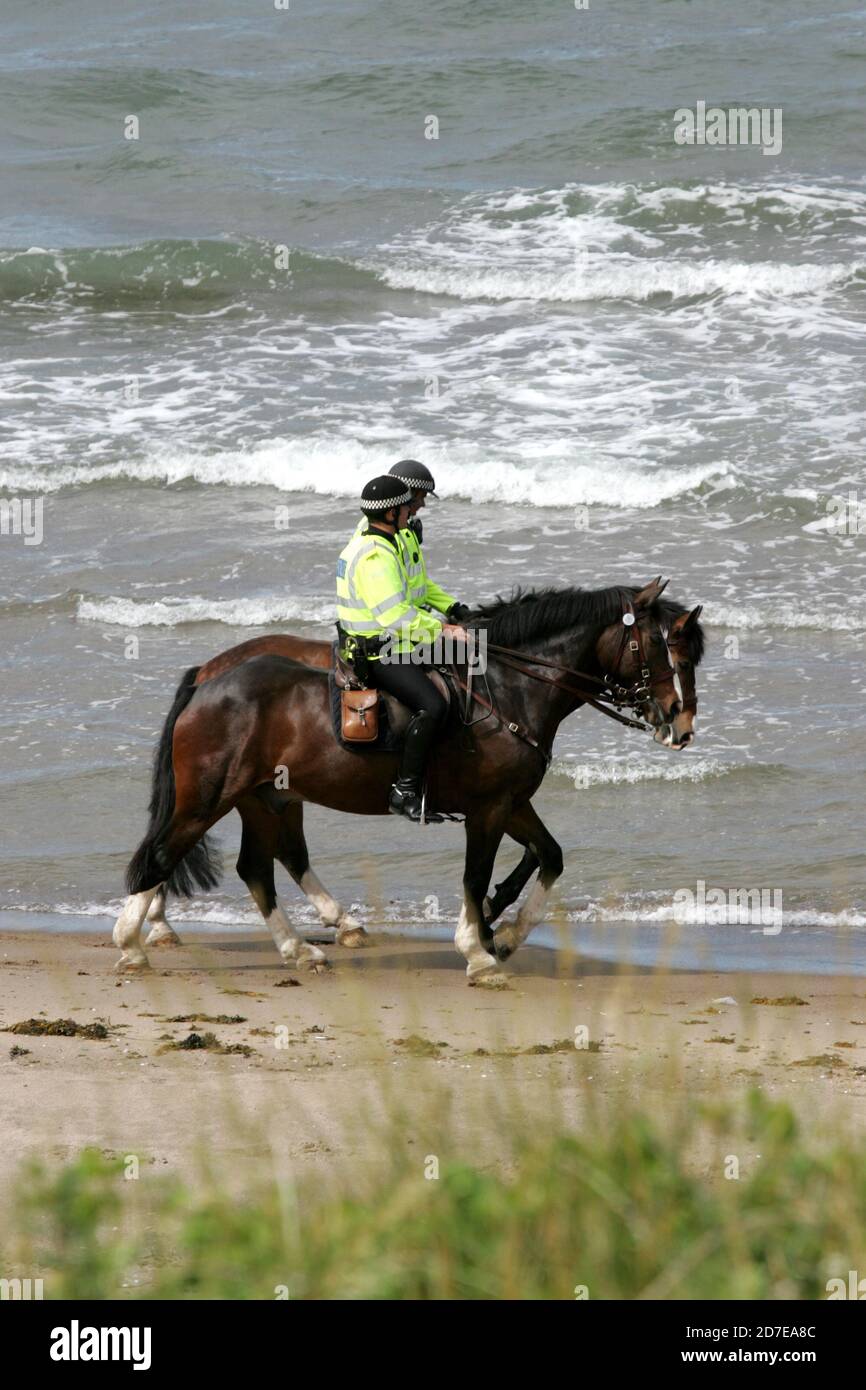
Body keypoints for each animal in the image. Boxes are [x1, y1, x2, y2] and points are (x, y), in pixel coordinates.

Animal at [113, 581, 706, 984]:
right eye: (660, 648)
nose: (680, 725)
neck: (507, 688)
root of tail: (208, 680)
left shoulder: (512, 803)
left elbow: (550, 857)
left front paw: (505, 935)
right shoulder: (489, 808)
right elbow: (475, 876)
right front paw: (479, 948)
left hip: (264, 799)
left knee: (257, 868)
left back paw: (302, 949)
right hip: (209, 797)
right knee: (164, 854)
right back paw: (133, 943)